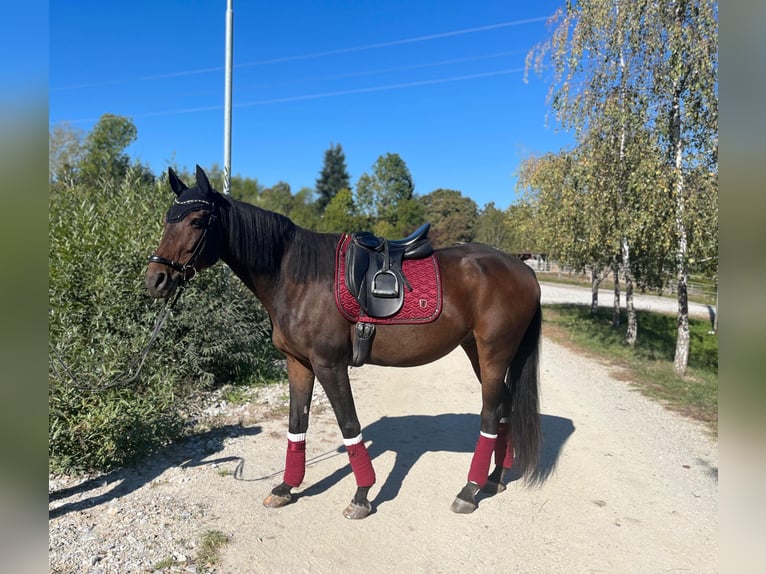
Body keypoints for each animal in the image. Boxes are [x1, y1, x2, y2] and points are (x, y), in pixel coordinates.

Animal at [145, 165, 542, 519]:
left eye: (197, 222)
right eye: (167, 219)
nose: (156, 279)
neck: (296, 276)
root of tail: (524, 269)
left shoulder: (329, 365)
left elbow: (350, 425)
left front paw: (362, 495)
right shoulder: (298, 364)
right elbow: (297, 424)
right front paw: (286, 488)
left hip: (494, 353)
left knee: (490, 414)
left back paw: (469, 490)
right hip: (477, 351)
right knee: (504, 407)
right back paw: (494, 479)